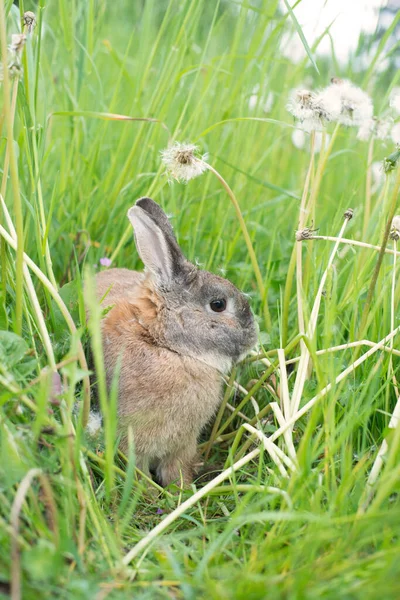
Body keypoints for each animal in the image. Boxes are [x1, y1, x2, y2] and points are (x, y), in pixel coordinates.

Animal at [92, 197, 258, 488]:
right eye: (218, 304)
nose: (254, 335)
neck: (166, 346)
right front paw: (148, 492)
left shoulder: (182, 445)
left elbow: (176, 469)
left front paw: (181, 489)